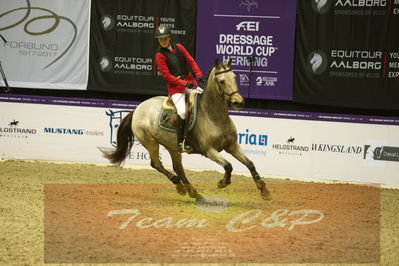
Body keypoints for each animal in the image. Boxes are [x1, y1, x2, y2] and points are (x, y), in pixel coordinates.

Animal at [101, 59, 274, 202]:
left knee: (178, 168)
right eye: (222, 81)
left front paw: (263, 190)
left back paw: (193, 193)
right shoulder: (209, 151)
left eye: (235, 78)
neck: (214, 116)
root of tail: (138, 108)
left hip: (172, 147)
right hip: (150, 142)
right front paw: (223, 182)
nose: (238, 102)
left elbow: (250, 164)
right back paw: (179, 185)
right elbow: (228, 166)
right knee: (157, 164)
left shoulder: (232, 146)